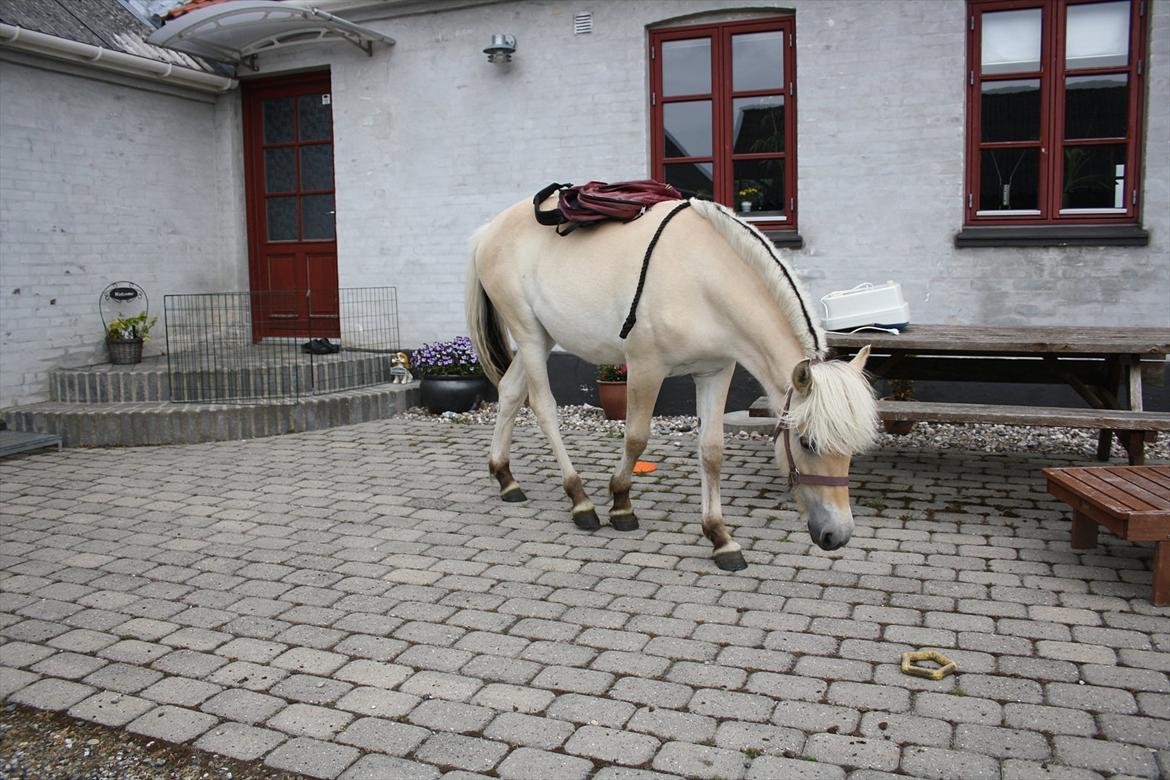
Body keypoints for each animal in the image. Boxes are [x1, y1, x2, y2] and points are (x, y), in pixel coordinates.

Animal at [465, 195, 879, 573]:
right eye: (808, 443)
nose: (837, 534)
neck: (703, 279)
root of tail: (489, 230)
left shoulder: (716, 372)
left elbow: (711, 451)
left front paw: (720, 537)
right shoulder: (645, 367)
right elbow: (636, 438)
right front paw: (621, 504)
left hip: (543, 337)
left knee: (510, 392)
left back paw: (506, 478)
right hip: (529, 335)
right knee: (543, 407)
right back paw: (579, 499)